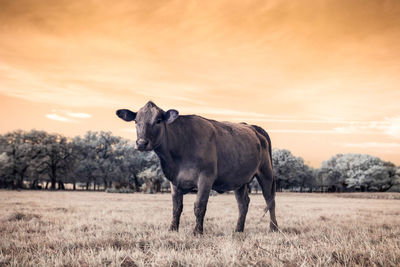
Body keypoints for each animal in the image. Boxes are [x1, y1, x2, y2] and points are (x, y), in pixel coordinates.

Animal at [115, 101, 278, 236]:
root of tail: (254, 127)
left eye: (158, 121)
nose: (141, 143)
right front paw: (173, 229)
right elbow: (176, 207)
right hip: (239, 180)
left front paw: (197, 232)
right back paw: (238, 230)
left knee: (270, 200)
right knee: (243, 203)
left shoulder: (206, 177)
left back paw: (273, 228)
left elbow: (199, 205)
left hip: (266, 172)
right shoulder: (174, 181)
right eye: (136, 121)